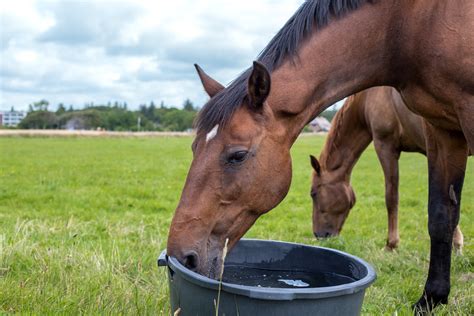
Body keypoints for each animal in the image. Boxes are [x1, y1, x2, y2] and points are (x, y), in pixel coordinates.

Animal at [310, 85, 464, 253]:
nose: (319, 235)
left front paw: (391, 244)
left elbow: (391, 197)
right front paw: (456, 243)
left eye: (313, 194)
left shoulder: (385, 145)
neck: (368, 96)